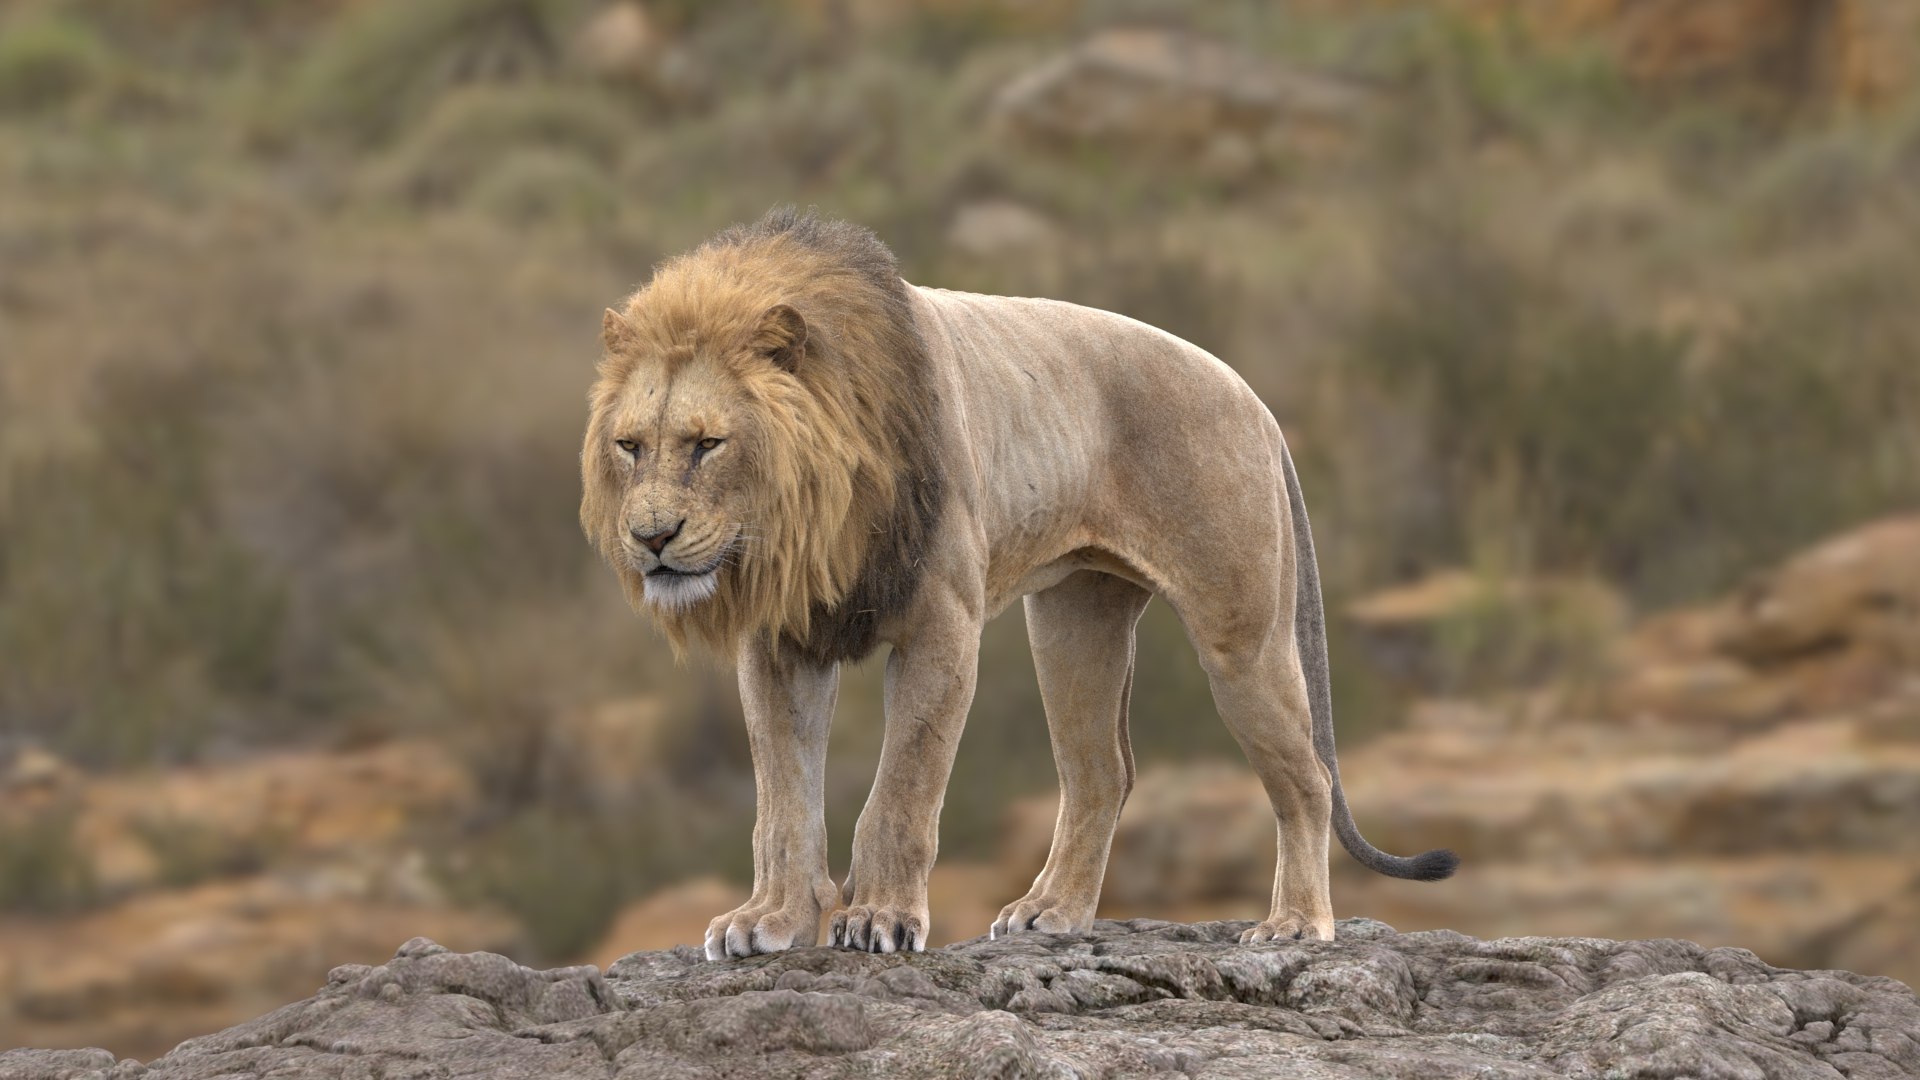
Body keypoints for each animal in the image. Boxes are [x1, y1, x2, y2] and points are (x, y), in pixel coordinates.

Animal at [582, 208, 1457, 959]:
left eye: (707, 444)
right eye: (631, 445)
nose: (651, 539)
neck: (811, 515)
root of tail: (1256, 403)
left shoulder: (941, 623)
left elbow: (903, 788)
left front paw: (880, 918)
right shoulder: (778, 642)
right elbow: (782, 799)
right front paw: (769, 919)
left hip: (1239, 636)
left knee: (1305, 775)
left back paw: (1294, 924)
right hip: (1072, 619)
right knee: (1103, 772)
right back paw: (1052, 912)